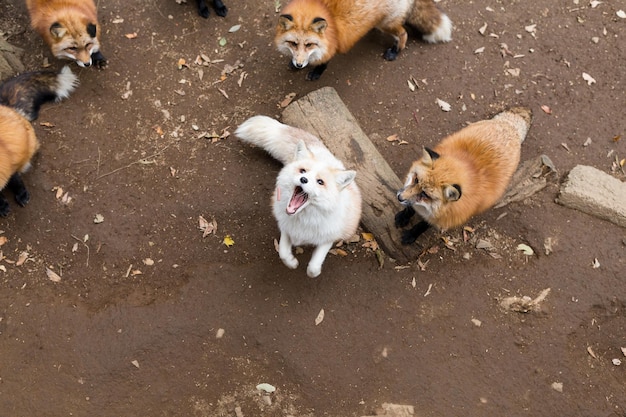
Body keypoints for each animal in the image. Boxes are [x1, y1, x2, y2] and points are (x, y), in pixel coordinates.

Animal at [272, 0, 448, 79]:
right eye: (293, 43)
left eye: (309, 44)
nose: (299, 65)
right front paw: (294, 63)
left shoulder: (331, 45)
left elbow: (324, 61)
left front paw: (316, 72)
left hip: (386, 24)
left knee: (403, 33)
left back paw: (395, 51)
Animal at [394, 107, 532, 244]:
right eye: (416, 179)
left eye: (425, 194)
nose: (399, 197)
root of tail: (509, 126)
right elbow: (411, 207)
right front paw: (404, 216)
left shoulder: (446, 217)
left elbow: (423, 225)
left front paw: (412, 234)